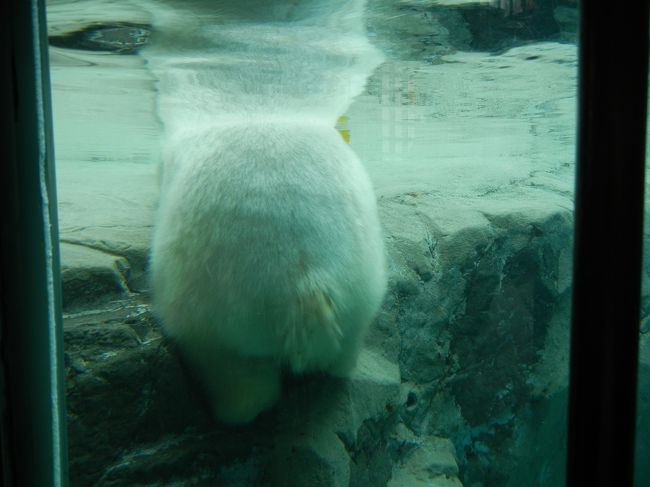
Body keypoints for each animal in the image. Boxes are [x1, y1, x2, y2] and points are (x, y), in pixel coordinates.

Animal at [146, 0, 384, 424]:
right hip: (362, 279)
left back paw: (226, 409)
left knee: (230, 367)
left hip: (214, 300)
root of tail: (306, 282)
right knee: (349, 339)